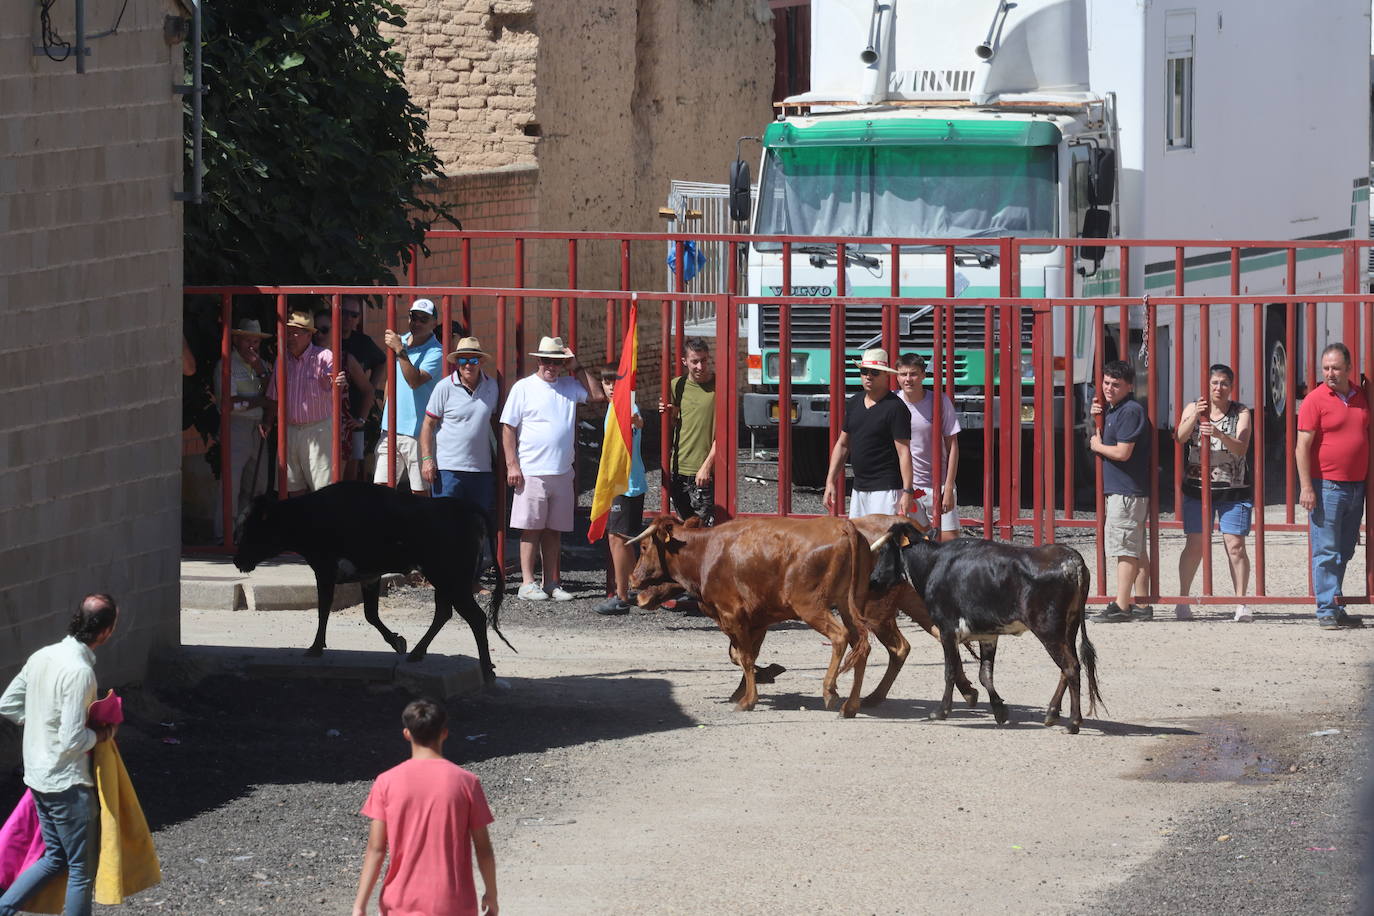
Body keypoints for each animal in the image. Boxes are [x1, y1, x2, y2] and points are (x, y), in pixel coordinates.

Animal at [233, 483, 513, 678]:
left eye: (249, 529)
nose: (236, 560)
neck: (307, 515)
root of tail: (461, 507)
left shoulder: (324, 570)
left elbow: (324, 609)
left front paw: (315, 647)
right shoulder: (369, 576)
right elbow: (370, 615)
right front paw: (398, 641)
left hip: (450, 579)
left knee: (475, 617)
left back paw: (487, 670)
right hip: (445, 581)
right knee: (444, 613)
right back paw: (417, 652)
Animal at [868, 527, 1104, 736]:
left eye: (883, 552)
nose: (872, 581)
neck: (933, 563)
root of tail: (1071, 559)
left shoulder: (947, 630)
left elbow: (950, 671)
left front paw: (941, 711)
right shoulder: (988, 635)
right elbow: (985, 674)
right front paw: (999, 709)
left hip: (1049, 631)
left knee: (1071, 667)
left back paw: (1073, 723)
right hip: (1068, 629)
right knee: (1068, 667)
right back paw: (1052, 713)